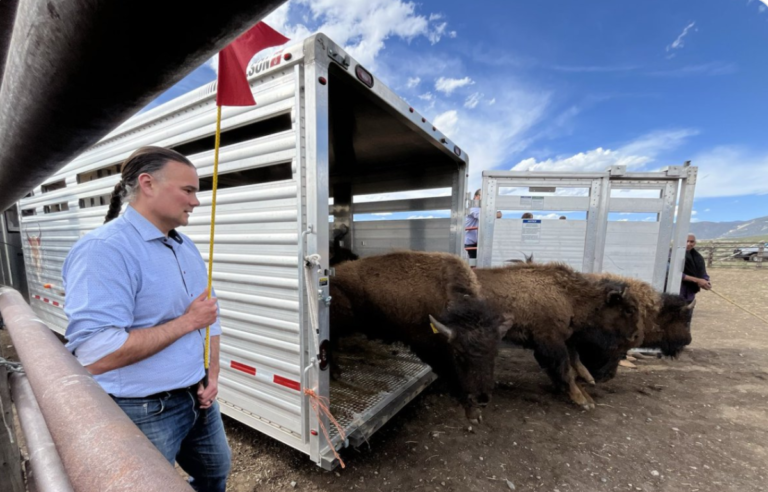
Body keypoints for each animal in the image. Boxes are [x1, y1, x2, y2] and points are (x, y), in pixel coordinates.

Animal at [476, 264, 640, 410]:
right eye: (629, 310)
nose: (634, 335)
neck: (571, 297)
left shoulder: (559, 342)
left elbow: (571, 363)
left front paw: (586, 393)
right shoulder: (551, 342)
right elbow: (566, 369)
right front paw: (582, 401)